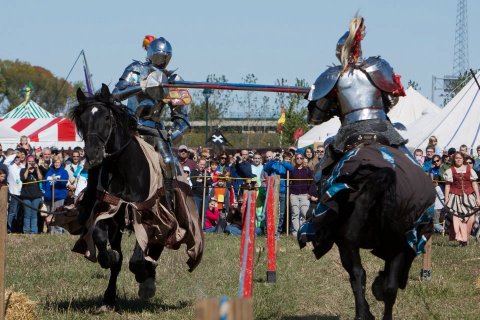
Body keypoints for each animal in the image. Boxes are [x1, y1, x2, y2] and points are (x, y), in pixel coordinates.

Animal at [70, 85, 202, 310]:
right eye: (82, 120)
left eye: (107, 117)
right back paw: (111, 295)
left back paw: (147, 280)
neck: (123, 172)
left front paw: (144, 278)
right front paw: (110, 262)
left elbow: (138, 258)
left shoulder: (148, 216)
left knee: (155, 248)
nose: (93, 154)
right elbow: (104, 244)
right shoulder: (109, 214)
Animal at [302, 144, 436, 320]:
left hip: (349, 244)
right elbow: (389, 285)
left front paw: (366, 311)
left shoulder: (345, 244)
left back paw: (361, 313)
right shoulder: (398, 247)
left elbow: (355, 276)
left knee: (359, 274)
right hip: (397, 246)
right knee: (390, 286)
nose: (309, 213)